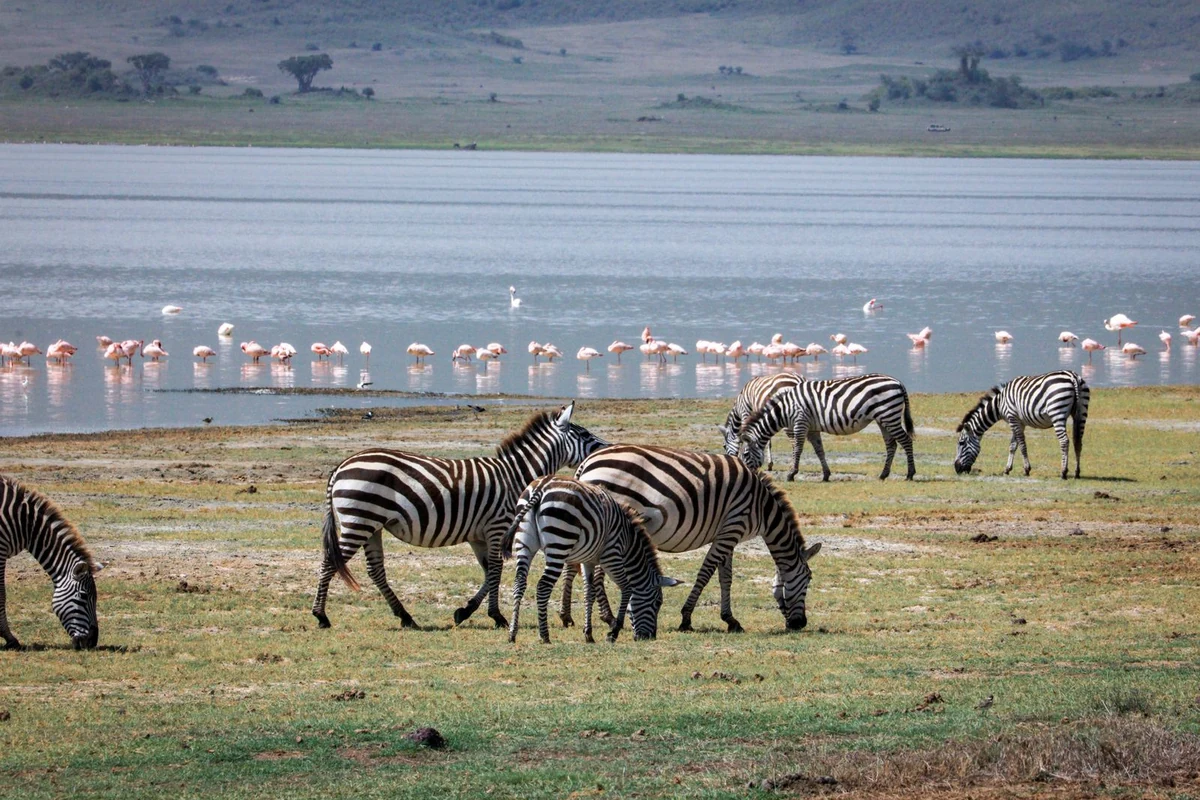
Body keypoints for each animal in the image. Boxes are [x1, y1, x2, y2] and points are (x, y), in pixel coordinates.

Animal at [311, 402, 608, 630]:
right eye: (584, 435)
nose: (606, 449)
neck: (514, 475)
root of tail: (341, 466)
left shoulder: (479, 536)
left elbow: (489, 572)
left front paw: (465, 612)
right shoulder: (497, 526)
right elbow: (496, 571)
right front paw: (496, 616)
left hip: (371, 525)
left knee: (375, 570)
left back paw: (406, 617)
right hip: (359, 521)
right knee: (330, 562)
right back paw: (321, 616)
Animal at [505, 476, 681, 644]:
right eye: (657, 603)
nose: (650, 637)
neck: (628, 543)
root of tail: (541, 487)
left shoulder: (588, 560)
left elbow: (589, 593)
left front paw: (588, 634)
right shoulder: (612, 556)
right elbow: (627, 589)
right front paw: (613, 632)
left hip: (524, 543)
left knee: (519, 583)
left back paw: (512, 633)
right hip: (559, 543)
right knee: (543, 587)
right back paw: (544, 635)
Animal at [572, 445, 821, 633]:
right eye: (808, 579)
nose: (800, 624)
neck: (763, 508)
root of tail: (587, 462)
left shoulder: (728, 533)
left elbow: (725, 577)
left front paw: (730, 619)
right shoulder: (733, 527)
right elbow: (706, 573)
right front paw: (686, 618)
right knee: (598, 572)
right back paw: (609, 618)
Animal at [738, 374, 915, 482]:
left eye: (745, 454)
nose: (746, 475)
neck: (785, 409)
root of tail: (898, 382)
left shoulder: (800, 422)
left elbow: (798, 449)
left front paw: (791, 474)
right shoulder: (812, 428)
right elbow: (819, 450)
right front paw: (826, 475)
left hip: (889, 415)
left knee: (906, 441)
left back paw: (910, 474)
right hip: (883, 419)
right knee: (891, 444)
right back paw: (883, 474)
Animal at [954, 370, 1089, 479]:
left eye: (961, 443)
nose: (956, 469)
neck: (1000, 403)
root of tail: (1073, 377)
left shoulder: (1013, 418)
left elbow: (1022, 445)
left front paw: (1026, 469)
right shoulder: (1019, 422)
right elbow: (1013, 446)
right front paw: (1007, 469)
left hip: (1057, 413)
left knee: (1064, 441)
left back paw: (1063, 472)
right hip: (1081, 412)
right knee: (1078, 441)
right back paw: (1077, 473)